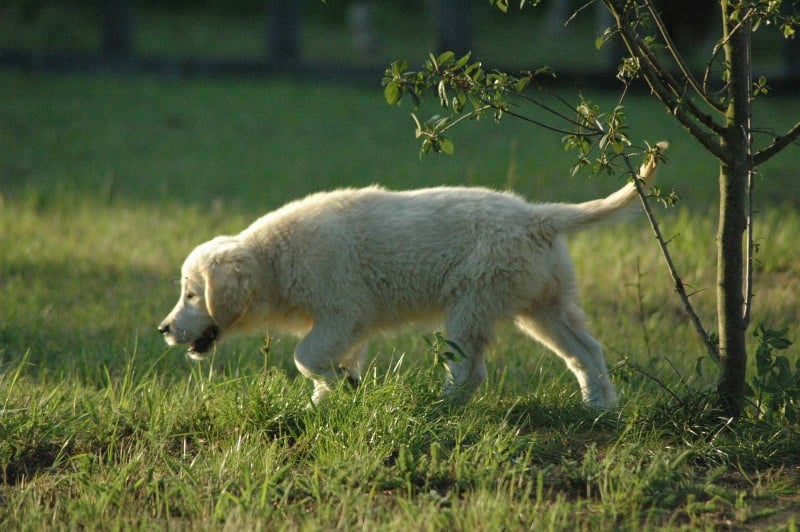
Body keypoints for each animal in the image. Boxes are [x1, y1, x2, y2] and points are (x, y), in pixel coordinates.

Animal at [156, 150, 664, 408]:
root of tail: (537, 217)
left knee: (470, 370)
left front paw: (332, 389)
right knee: (586, 352)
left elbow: (305, 356)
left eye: (192, 294)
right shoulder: (350, 326)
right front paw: (330, 399)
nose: (162, 329)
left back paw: (439, 407)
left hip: (472, 304)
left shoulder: (341, 312)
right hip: (541, 305)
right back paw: (599, 409)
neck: (274, 259)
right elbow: (333, 363)